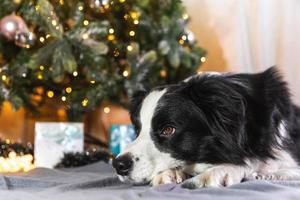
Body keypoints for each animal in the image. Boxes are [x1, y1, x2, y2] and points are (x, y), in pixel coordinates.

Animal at [112, 67, 300, 189]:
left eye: (168, 130)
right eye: (137, 130)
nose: (118, 164)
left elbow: (255, 160)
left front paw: (217, 171)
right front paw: (169, 173)